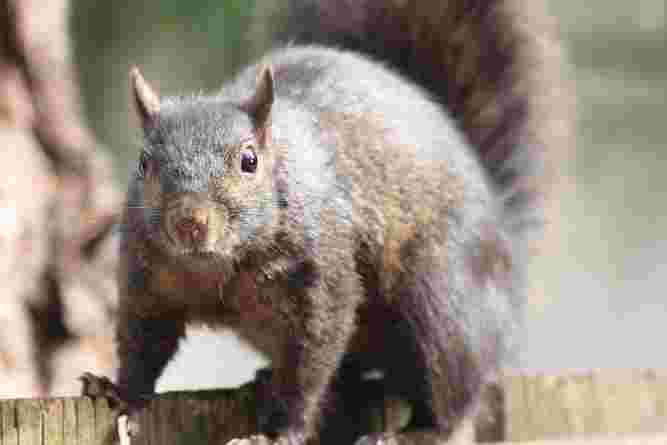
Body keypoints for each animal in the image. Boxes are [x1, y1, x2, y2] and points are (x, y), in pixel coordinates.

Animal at [81, 0, 570, 444]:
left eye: (249, 161)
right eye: (144, 163)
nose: (190, 222)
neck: (214, 264)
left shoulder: (321, 281)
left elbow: (309, 365)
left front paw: (281, 431)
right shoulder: (146, 280)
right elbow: (144, 344)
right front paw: (119, 392)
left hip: (441, 300)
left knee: (453, 392)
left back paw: (414, 432)